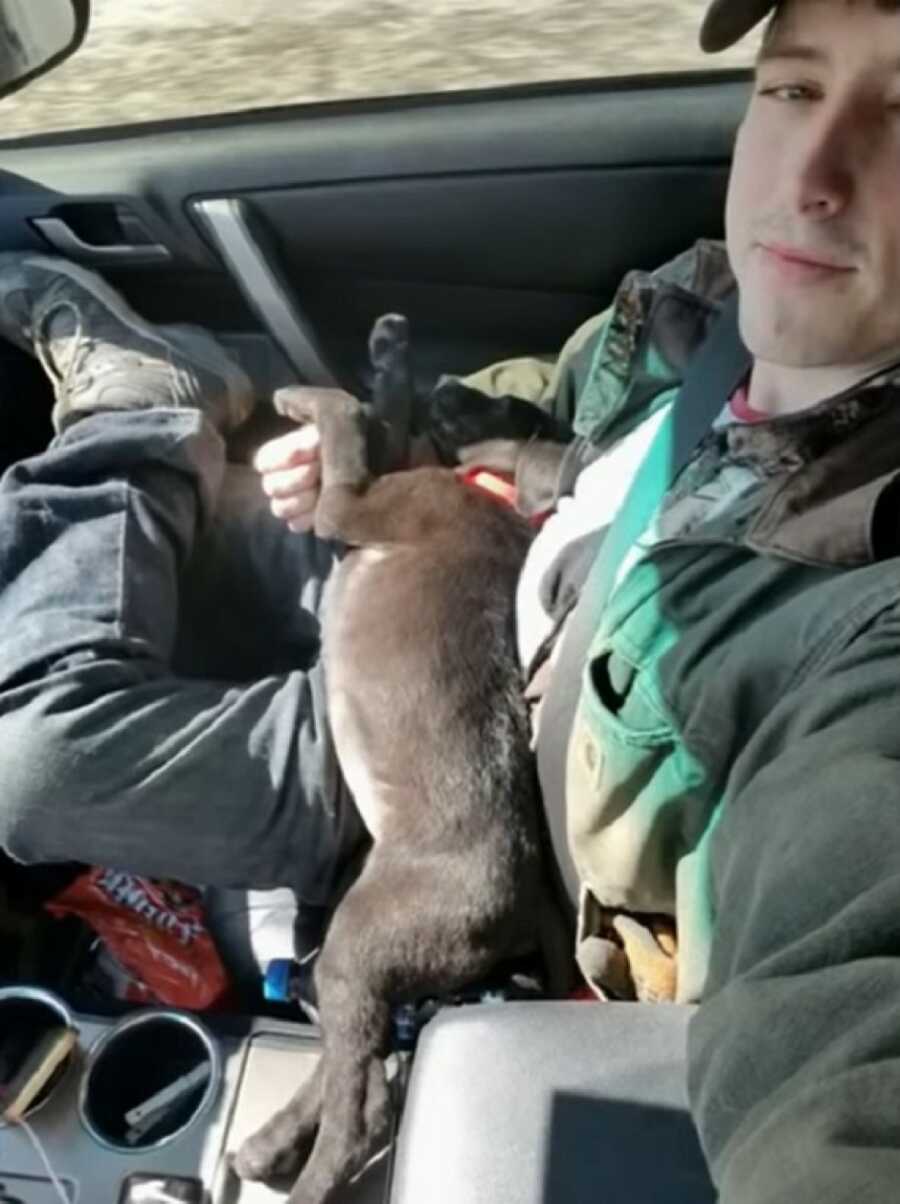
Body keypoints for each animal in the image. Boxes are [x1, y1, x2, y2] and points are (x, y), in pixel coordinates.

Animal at [232, 317, 555, 1204]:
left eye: (498, 400)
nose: (451, 379)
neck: (491, 487)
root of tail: (520, 913)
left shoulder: (355, 499)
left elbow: (347, 417)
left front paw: (307, 395)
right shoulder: (390, 464)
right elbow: (381, 414)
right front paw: (390, 356)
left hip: (362, 938)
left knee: (362, 1114)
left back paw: (302, 1177)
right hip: (363, 955)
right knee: (359, 1072)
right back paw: (267, 1146)